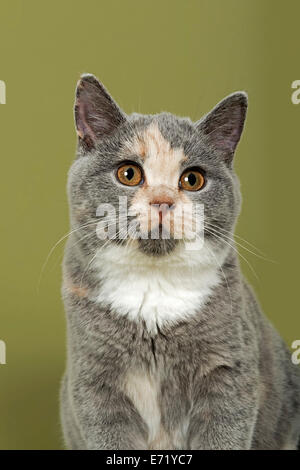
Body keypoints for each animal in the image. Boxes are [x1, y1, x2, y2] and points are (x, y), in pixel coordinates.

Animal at [59, 72, 300, 448]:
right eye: (129, 174)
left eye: (193, 179)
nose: (162, 200)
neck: (154, 288)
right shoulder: (95, 382)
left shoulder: (229, 373)